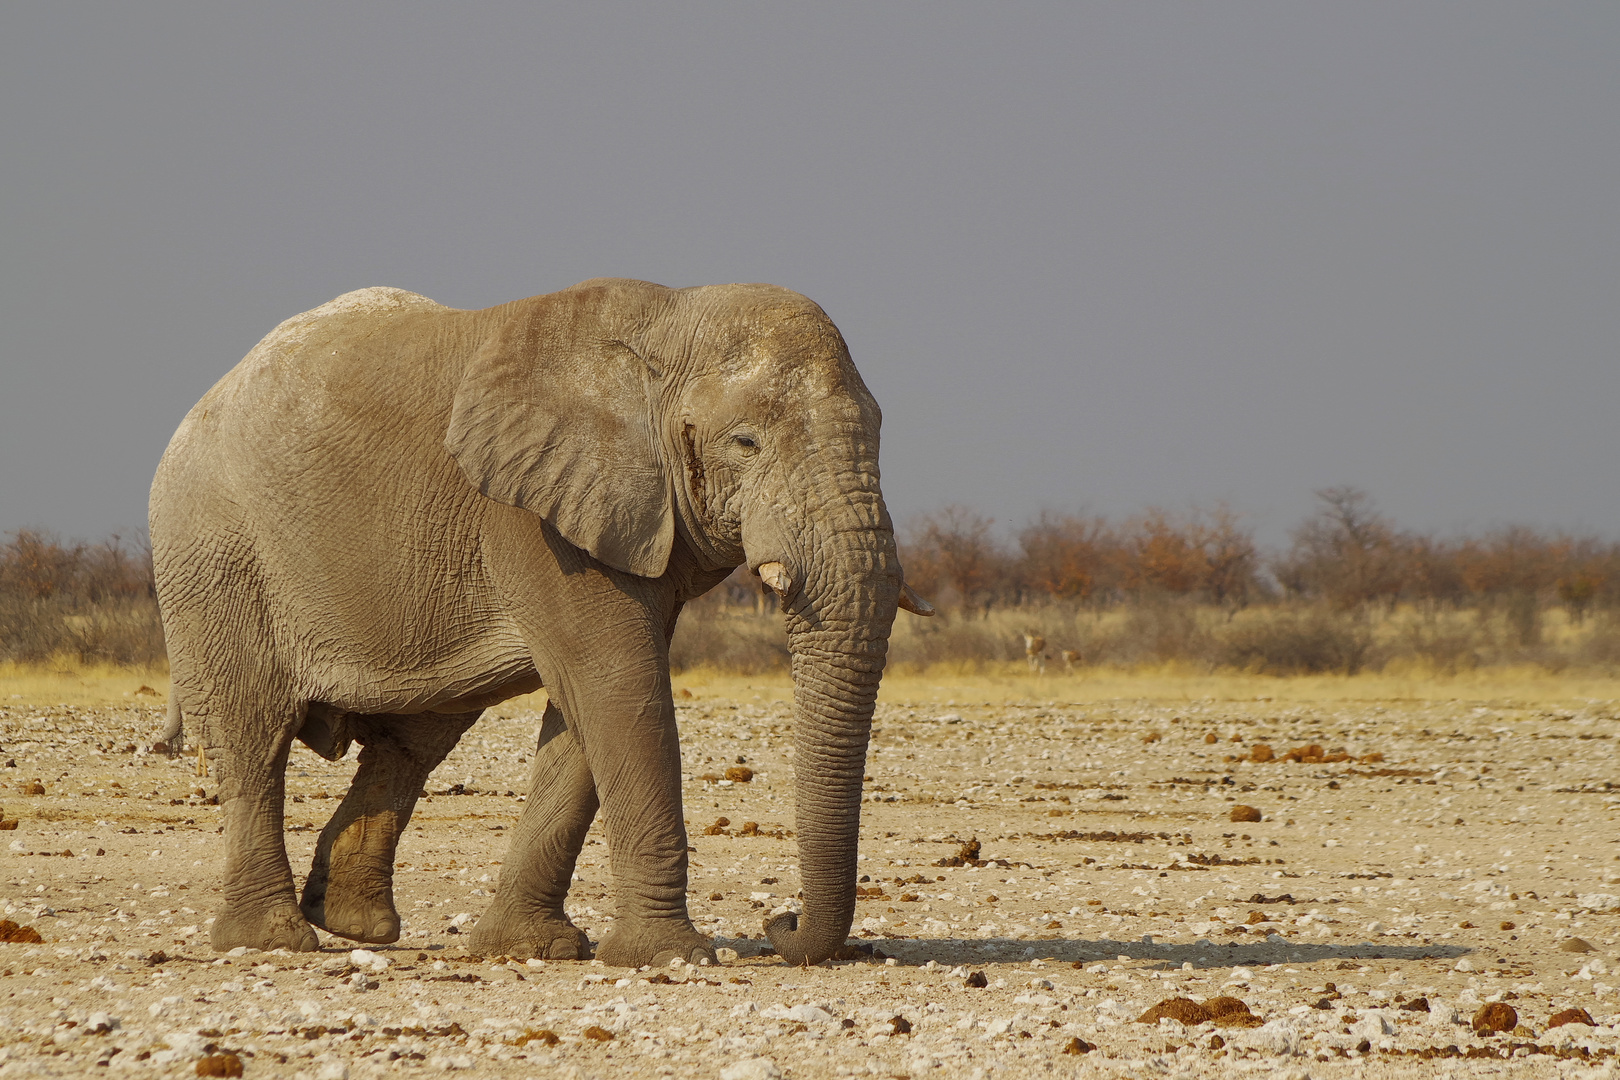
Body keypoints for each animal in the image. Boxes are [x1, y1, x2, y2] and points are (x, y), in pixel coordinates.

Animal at [154, 278, 939, 971]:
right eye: (744, 443)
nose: (781, 921)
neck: (667, 323)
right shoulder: (532, 520)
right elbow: (621, 687)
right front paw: (670, 956)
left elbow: (589, 709)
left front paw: (531, 949)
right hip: (213, 558)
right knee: (254, 738)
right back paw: (273, 940)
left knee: (414, 740)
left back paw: (356, 925)